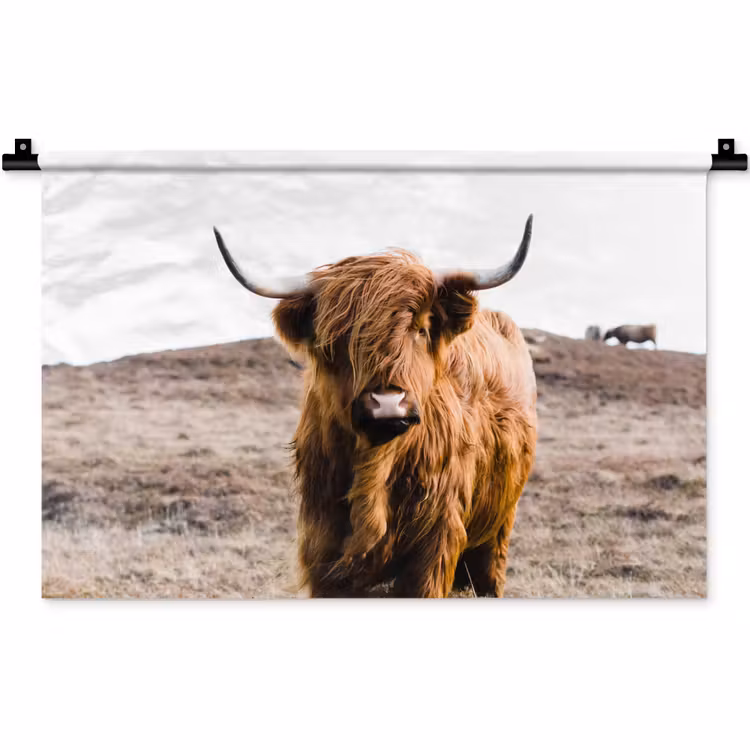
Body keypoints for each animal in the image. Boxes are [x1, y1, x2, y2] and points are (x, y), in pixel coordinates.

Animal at [213, 216, 537, 598]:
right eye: (336, 338)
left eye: (421, 329)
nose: (387, 403)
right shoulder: (322, 546)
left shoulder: (435, 545)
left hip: (498, 528)